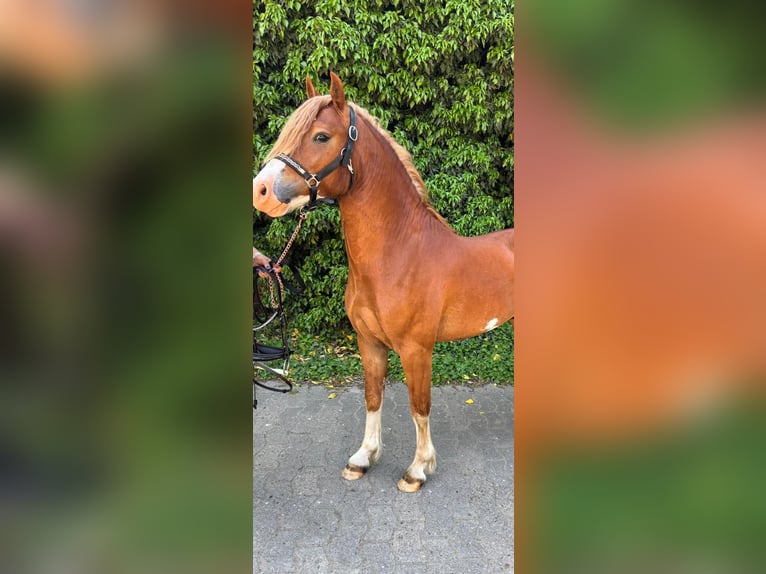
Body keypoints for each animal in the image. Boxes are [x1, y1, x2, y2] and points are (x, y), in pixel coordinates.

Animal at [253, 73, 514, 492]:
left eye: (321, 136)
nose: (260, 192)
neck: (399, 255)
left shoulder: (415, 349)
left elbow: (419, 407)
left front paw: (418, 469)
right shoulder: (369, 342)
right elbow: (372, 397)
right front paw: (363, 458)